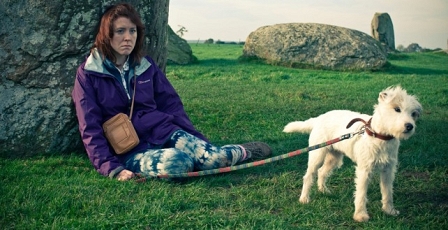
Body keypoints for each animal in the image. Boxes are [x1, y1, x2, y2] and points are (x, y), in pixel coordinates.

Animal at [286, 86, 422, 221]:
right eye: (397, 109)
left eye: (413, 114)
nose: (410, 126)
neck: (379, 136)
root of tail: (319, 118)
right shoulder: (364, 170)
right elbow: (361, 193)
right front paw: (360, 215)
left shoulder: (388, 169)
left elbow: (387, 192)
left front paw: (389, 210)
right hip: (317, 156)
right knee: (309, 176)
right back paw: (304, 198)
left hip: (334, 158)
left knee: (322, 172)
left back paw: (323, 190)